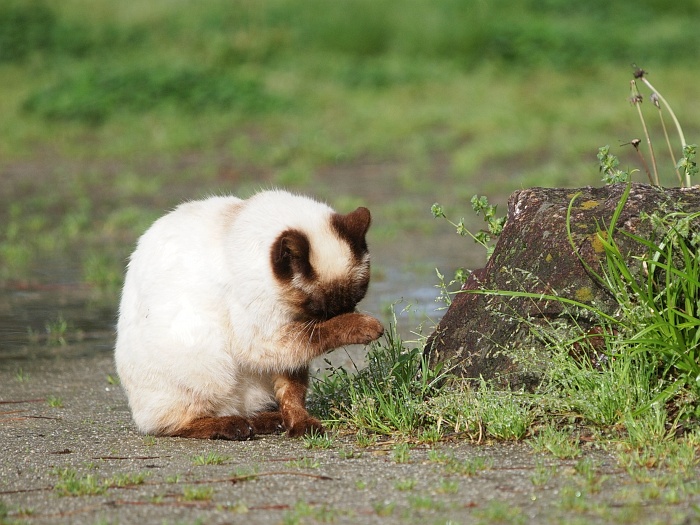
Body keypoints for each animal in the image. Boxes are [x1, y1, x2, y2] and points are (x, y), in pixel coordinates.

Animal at [117, 188, 386, 438]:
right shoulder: (266, 337)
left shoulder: (289, 340)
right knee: (172, 425)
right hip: (206, 356)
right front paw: (366, 326)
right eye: (320, 310)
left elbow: (293, 392)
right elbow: (320, 335)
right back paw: (234, 426)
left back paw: (268, 421)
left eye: (354, 301)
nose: (343, 313)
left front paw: (300, 424)